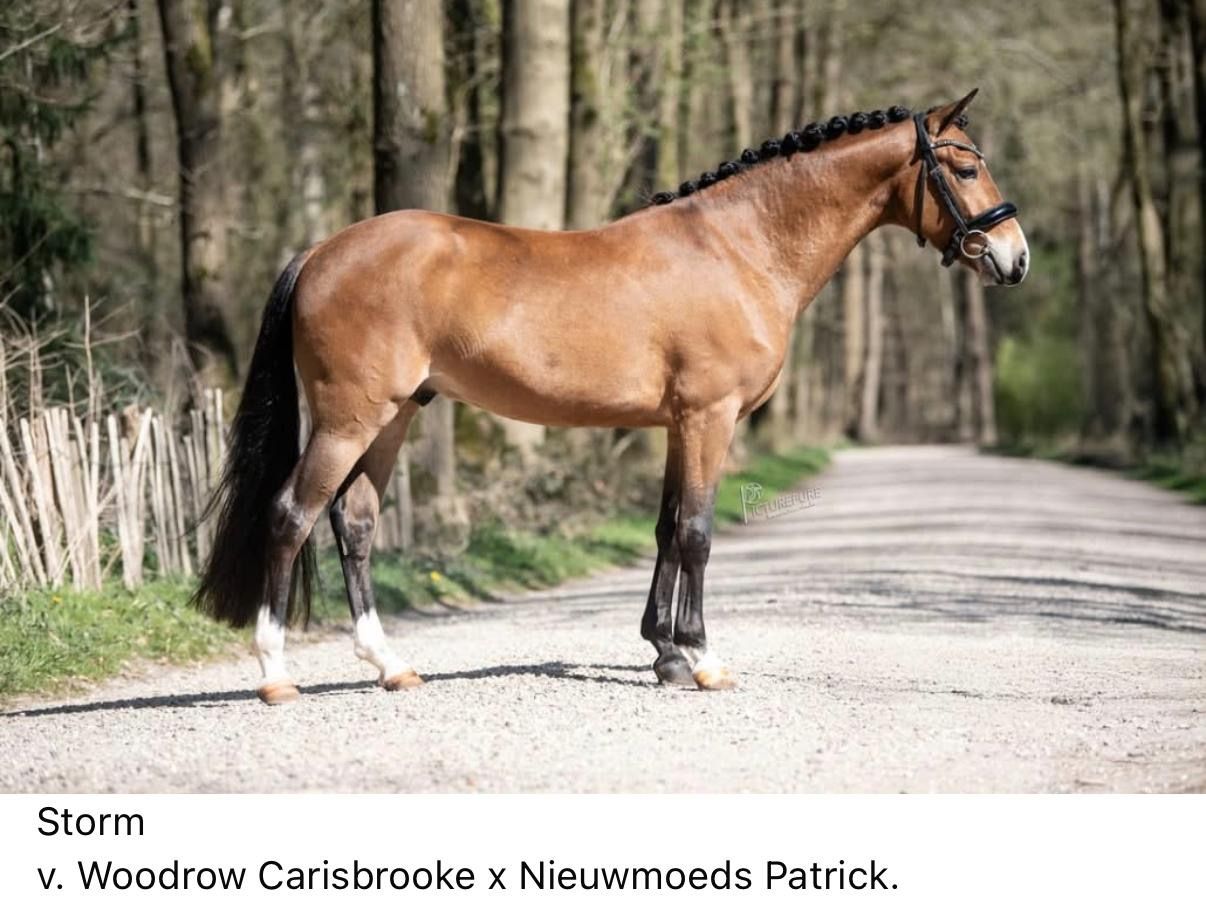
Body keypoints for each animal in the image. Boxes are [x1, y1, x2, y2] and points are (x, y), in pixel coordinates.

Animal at [194, 89, 1027, 704]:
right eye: (965, 166)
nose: (1014, 258)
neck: (740, 247)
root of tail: (320, 251)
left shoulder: (677, 423)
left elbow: (664, 529)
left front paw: (663, 653)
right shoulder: (709, 417)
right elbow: (696, 532)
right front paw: (701, 658)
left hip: (393, 417)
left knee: (355, 522)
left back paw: (390, 664)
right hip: (349, 418)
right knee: (291, 515)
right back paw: (275, 674)